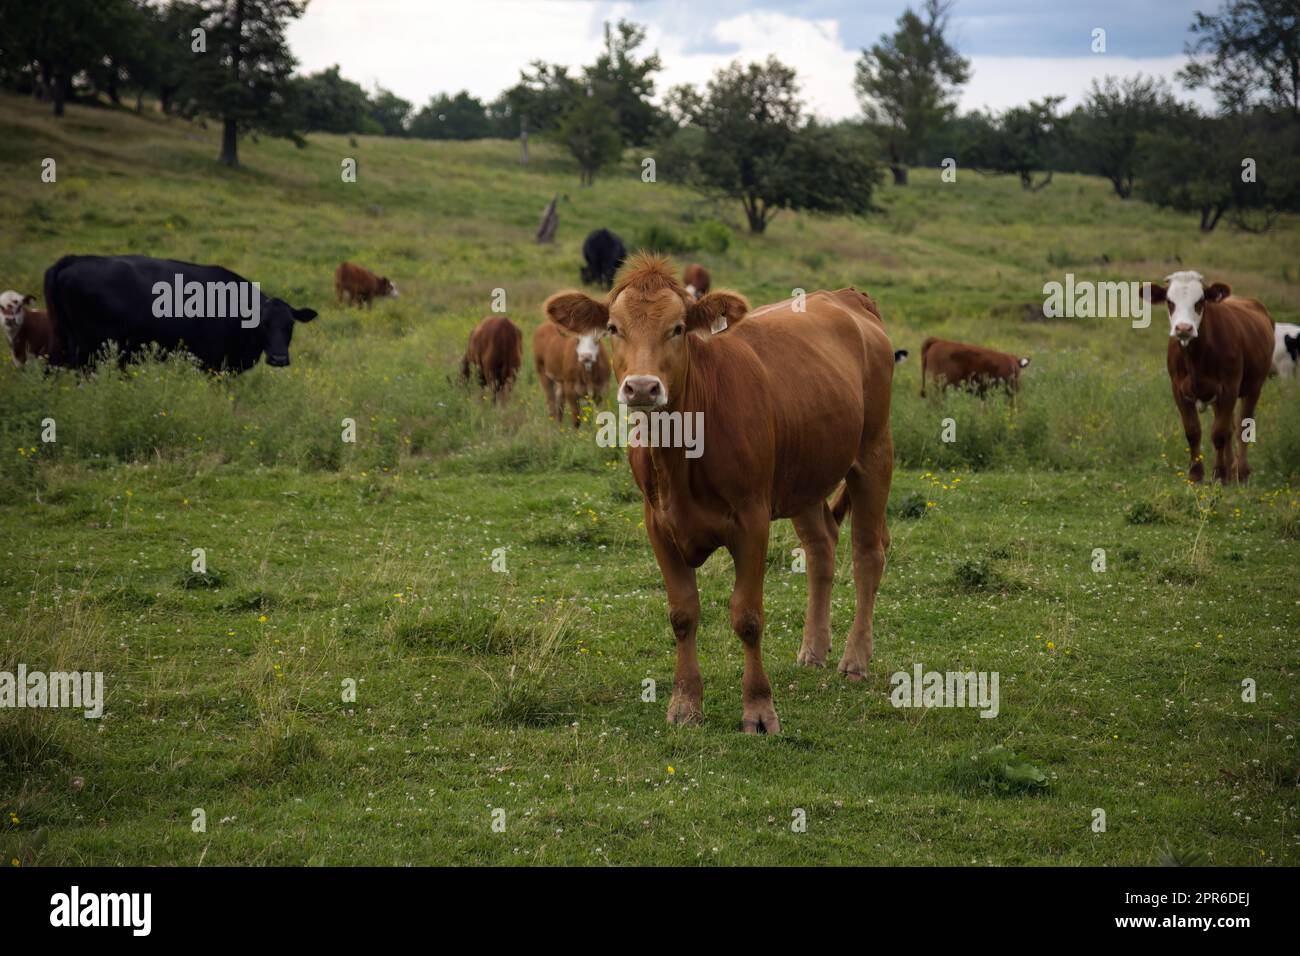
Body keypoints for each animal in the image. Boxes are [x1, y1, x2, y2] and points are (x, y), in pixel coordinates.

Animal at [45, 254, 317, 369]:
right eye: (263, 324)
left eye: (290, 325)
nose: (279, 359)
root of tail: (75, 259)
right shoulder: (212, 363)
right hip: (92, 348)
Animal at [543, 252, 899, 733]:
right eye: (614, 328)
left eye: (677, 328)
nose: (642, 387)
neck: (679, 457)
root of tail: (846, 296)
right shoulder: (657, 524)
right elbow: (682, 615)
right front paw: (684, 704)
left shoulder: (751, 520)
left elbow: (747, 616)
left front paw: (759, 710)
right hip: (802, 477)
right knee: (822, 547)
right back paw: (813, 649)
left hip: (874, 453)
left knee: (867, 554)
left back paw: (855, 658)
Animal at [1154, 273, 1274, 486]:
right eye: (1170, 302)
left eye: (1200, 301)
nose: (1183, 328)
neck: (1196, 357)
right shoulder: (1178, 389)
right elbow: (1193, 431)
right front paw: (1196, 474)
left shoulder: (1229, 387)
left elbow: (1219, 433)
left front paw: (1219, 474)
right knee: (1230, 429)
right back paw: (1230, 468)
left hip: (1254, 386)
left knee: (1242, 425)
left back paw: (1240, 471)